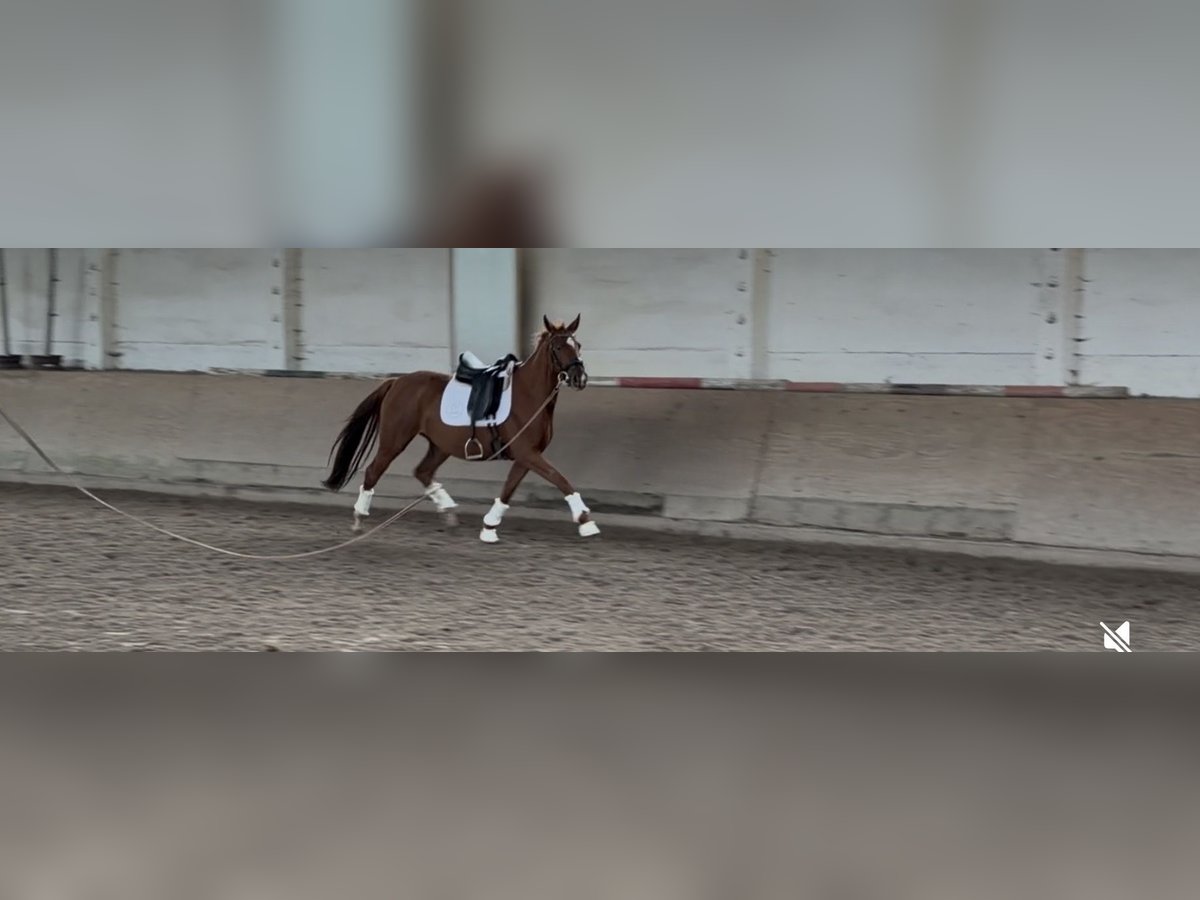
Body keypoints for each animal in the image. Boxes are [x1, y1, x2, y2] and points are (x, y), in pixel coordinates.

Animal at [321, 314, 599, 543]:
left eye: (578, 345)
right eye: (558, 347)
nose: (580, 378)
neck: (528, 394)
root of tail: (396, 381)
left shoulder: (525, 456)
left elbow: (508, 490)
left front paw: (489, 528)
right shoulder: (527, 453)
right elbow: (560, 479)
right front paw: (586, 522)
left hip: (440, 445)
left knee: (423, 471)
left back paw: (449, 512)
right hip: (395, 441)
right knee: (373, 471)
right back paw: (359, 519)